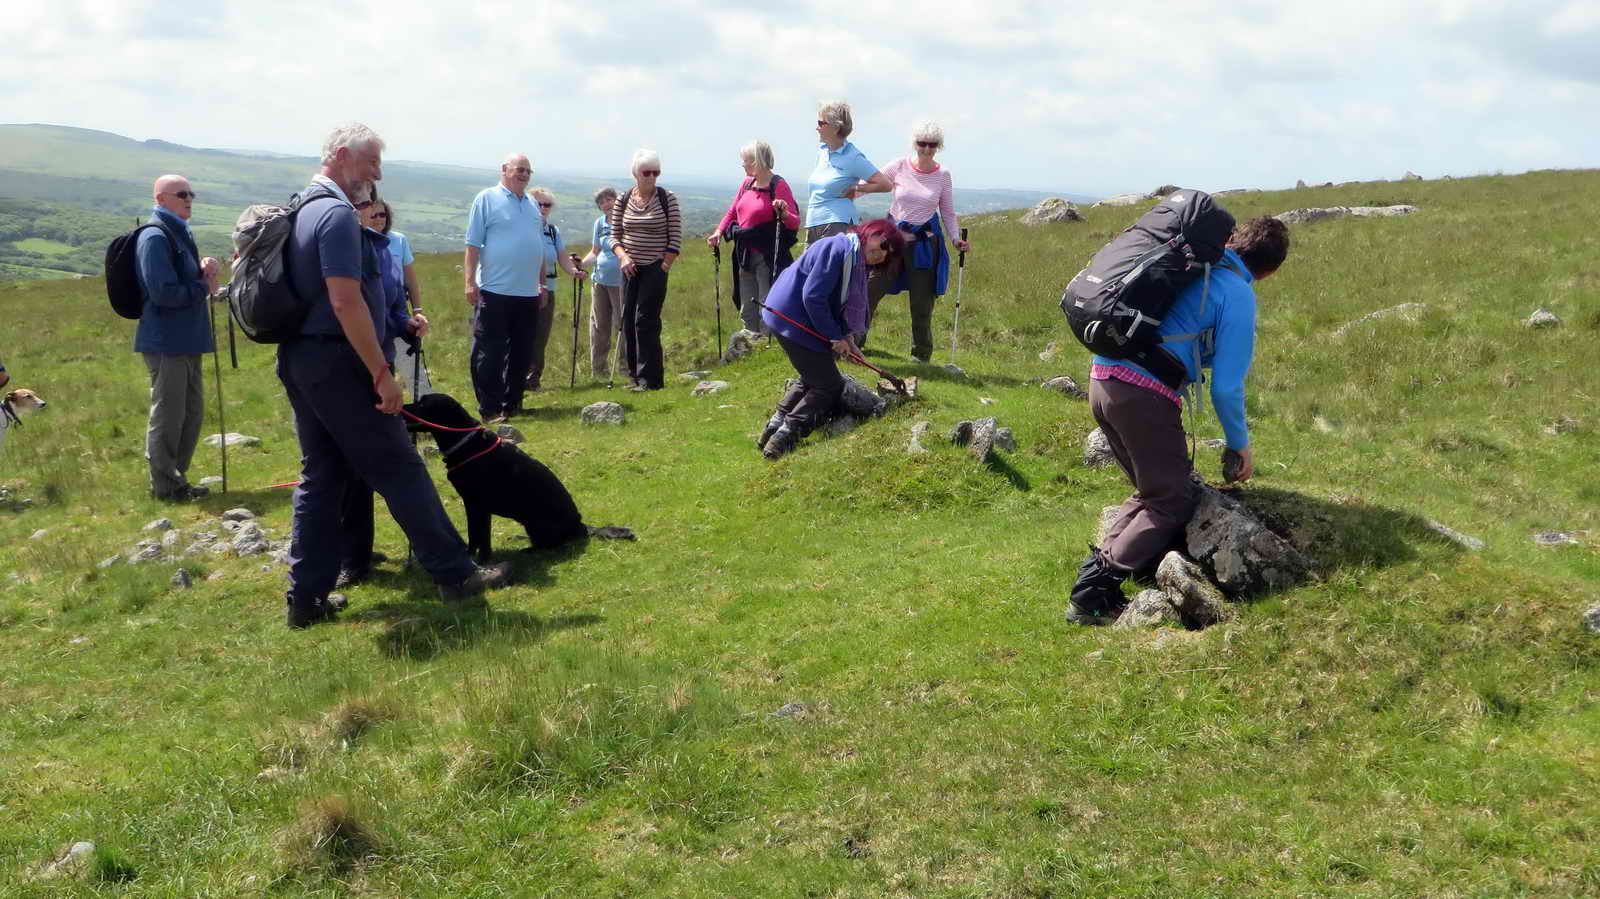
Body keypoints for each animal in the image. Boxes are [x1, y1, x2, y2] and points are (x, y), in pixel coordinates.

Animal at [403, 391, 633, 559]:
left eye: (422, 404)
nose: (402, 407)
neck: (467, 443)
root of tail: (580, 526)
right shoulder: (476, 506)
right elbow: (478, 537)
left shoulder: (477, 505)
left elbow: (477, 537)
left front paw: (480, 560)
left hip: (537, 521)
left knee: (547, 545)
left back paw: (527, 549)